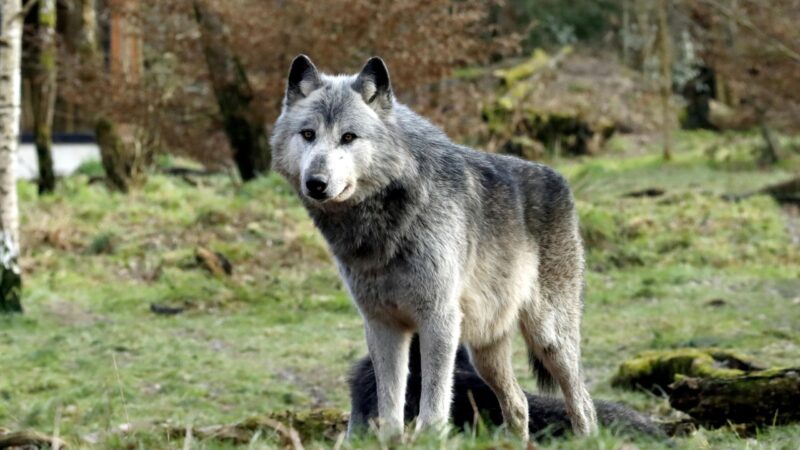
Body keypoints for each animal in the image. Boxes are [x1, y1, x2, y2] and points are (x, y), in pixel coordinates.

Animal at [270, 54, 598, 439]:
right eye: (308, 134)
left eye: (348, 137)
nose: (316, 183)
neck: (386, 225)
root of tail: (559, 177)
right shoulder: (382, 324)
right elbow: (390, 410)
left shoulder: (438, 319)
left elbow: (434, 408)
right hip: (485, 351)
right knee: (518, 404)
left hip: (549, 338)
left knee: (583, 403)